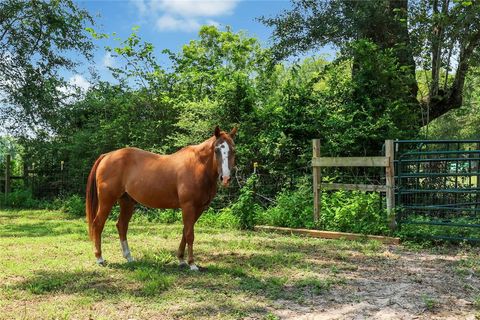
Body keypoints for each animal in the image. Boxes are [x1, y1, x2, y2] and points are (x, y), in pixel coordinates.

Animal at [86, 127, 238, 270]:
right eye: (217, 150)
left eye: (233, 150)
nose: (225, 178)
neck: (197, 166)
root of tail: (107, 155)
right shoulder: (188, 206)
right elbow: (190, 234)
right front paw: (192, 264)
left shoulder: (200, 208)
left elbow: (185, 232)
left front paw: (181, 259)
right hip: (107, 201)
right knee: (98, 224)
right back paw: (99, 258)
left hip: (127, 202)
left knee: (122, 226)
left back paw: (129, 257)